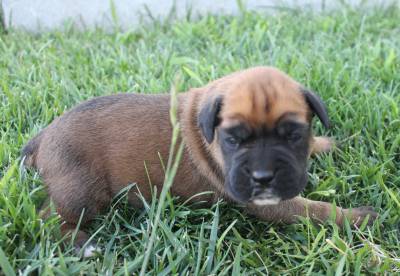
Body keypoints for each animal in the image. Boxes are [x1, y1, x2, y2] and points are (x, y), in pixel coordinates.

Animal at [21, 66, 378, 254]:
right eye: (233, 140)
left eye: (293, 136)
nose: (264, 177)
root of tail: (43, 136)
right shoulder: (271, 203)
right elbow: (314, 210)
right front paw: (357, 218)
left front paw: (329, 144)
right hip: (82, 191)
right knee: (48, 218)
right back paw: (84, 244)